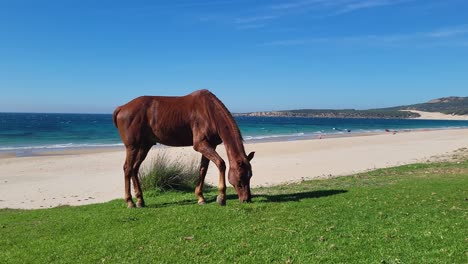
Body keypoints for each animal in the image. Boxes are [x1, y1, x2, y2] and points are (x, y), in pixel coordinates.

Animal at [113, 89, 254, 207]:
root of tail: (122, 108)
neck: (209, 111)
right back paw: (130, 201)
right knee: (128, 168)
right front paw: (221, 197)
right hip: (132, 147)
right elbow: (221, 163)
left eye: (250, 176)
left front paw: (200, 197)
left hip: (144, 146)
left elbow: (203, 169)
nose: (246, 199)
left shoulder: (210, 145)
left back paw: (140, 200)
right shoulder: (200, 145)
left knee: (135, 169)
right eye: (241, 177)